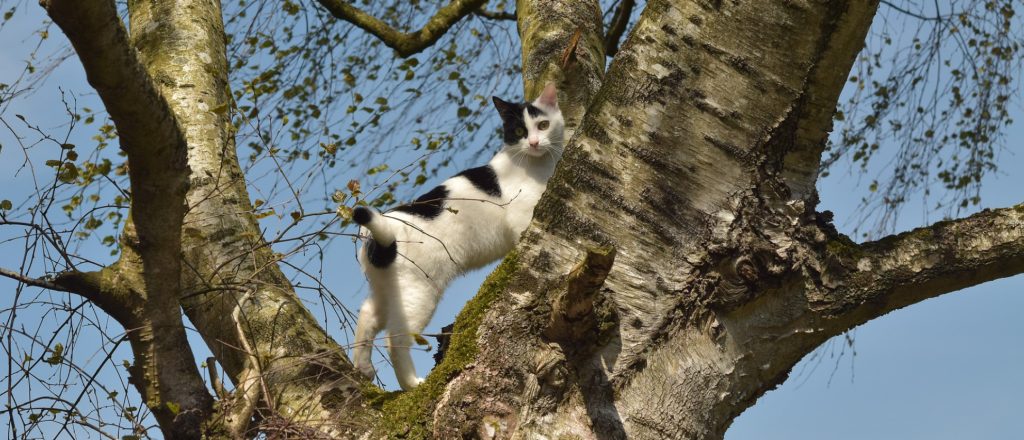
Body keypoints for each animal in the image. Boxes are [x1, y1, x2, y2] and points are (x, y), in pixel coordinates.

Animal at [350, 84, 561, 390]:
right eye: (520, 131)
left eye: (543, 125)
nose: (534, 143)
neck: (537, 165)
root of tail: (383, 231)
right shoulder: (523, 215)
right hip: (418, 294)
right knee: (395, 339)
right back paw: (411, 383)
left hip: (387, 291)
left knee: (367, 315)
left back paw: (363, 368)